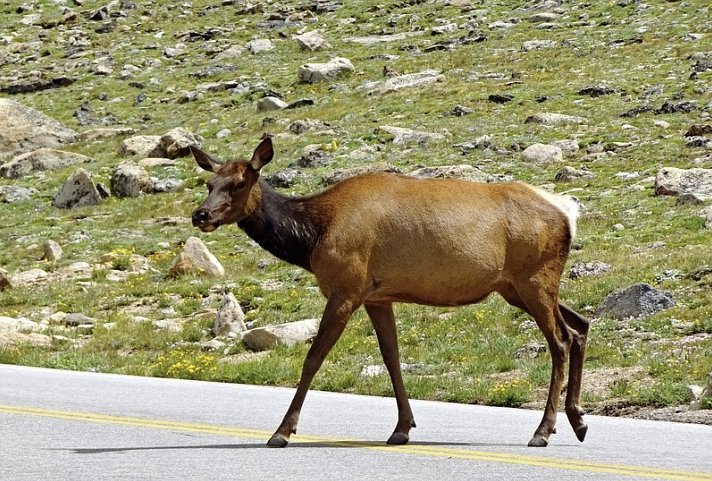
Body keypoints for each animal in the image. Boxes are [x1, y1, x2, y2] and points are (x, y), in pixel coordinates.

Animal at [189, 137, 588, 448]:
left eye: (240, 182)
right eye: (209, 183)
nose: (200, 215)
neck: (312, 238)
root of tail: (569, 213)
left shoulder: (346, 288)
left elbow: (313, 358)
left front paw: (282, 431)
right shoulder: (377, 296)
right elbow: (391, 356)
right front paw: (402, 427)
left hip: (535, 278)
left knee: (561, 340)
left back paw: (543, 430)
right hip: (516, 286)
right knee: (581, 326)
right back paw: (577, 420)